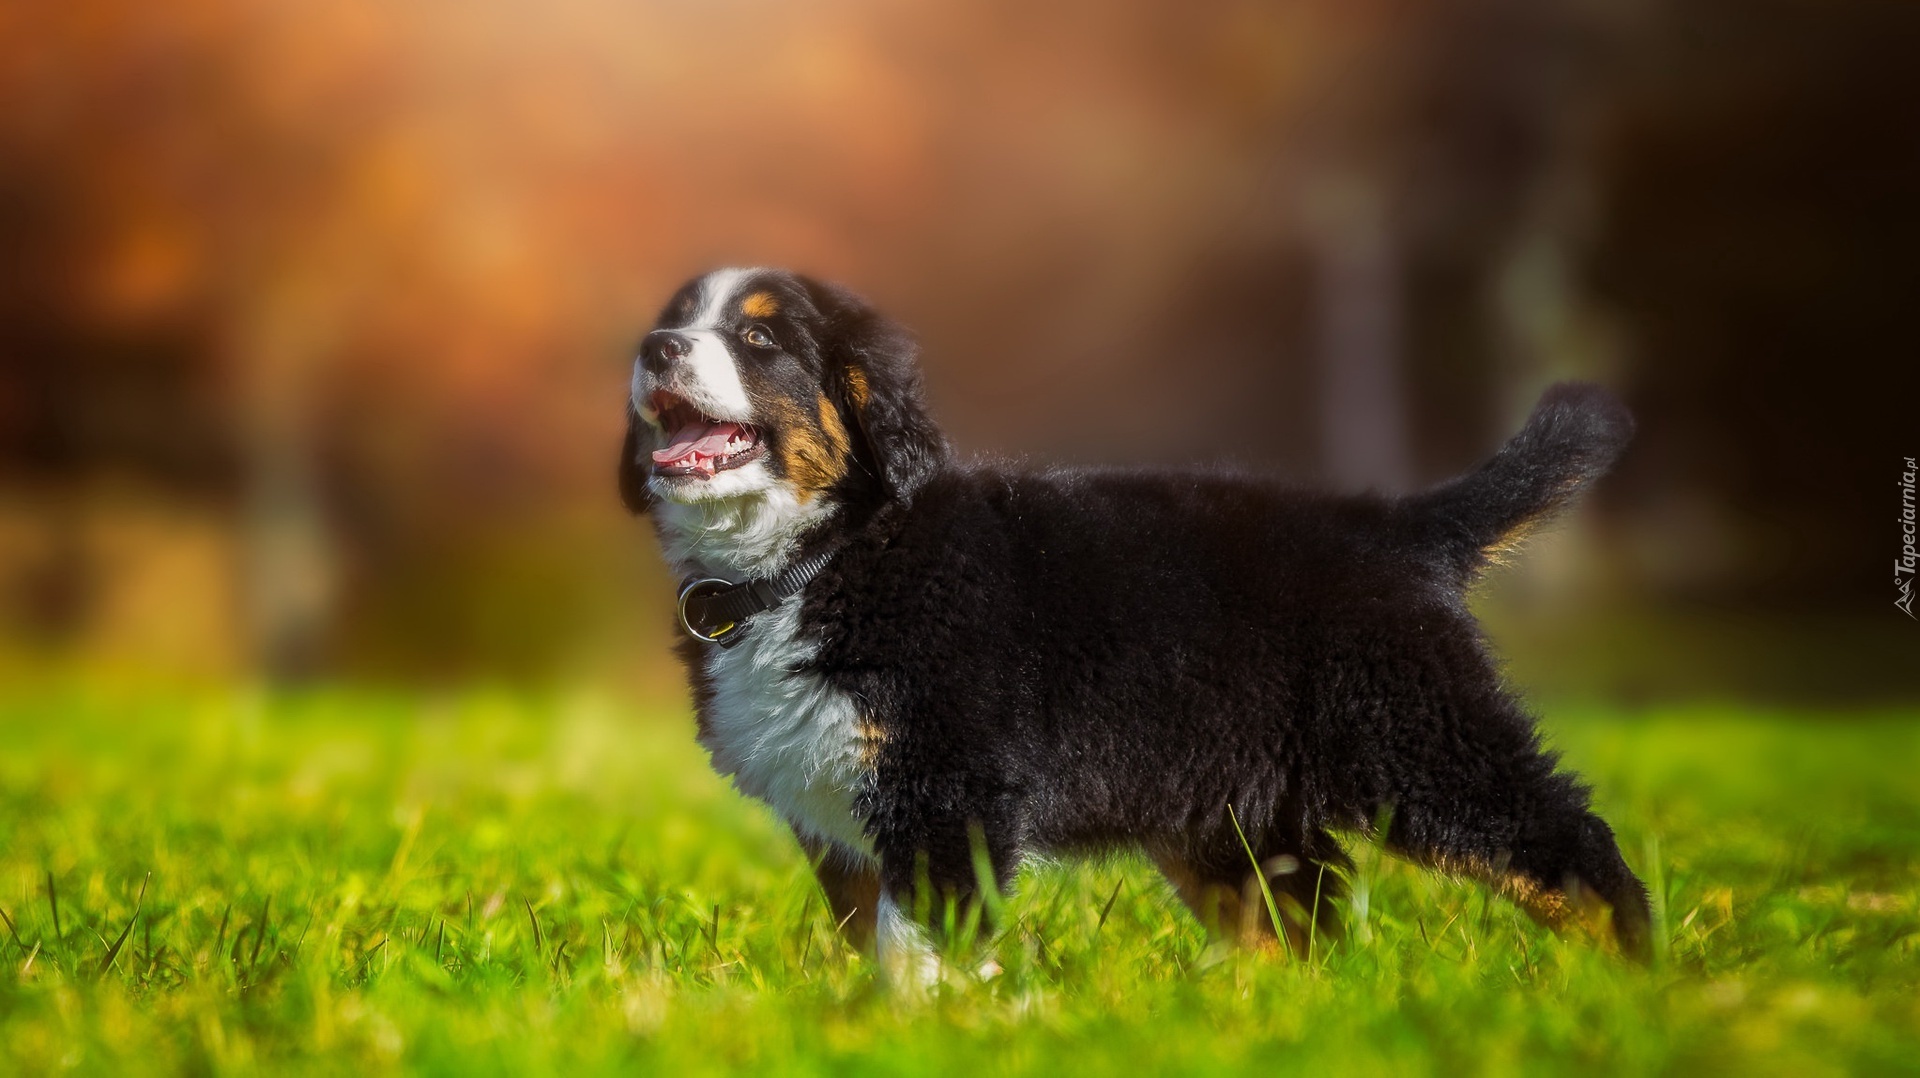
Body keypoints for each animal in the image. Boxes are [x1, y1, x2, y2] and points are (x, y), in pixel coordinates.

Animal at [622, 267, 1658, 976]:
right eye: (680, 317)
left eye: (760, 338)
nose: (655, 346)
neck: (824, 556)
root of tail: (1400, 526)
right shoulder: (843, 821)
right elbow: (869, 939)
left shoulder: (943, 794)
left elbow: (919, 946)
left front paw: (925, 1030)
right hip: (1230, 805)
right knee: (1305, 910)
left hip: (1422, 743)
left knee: (1572, 851)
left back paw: (1634, 985)